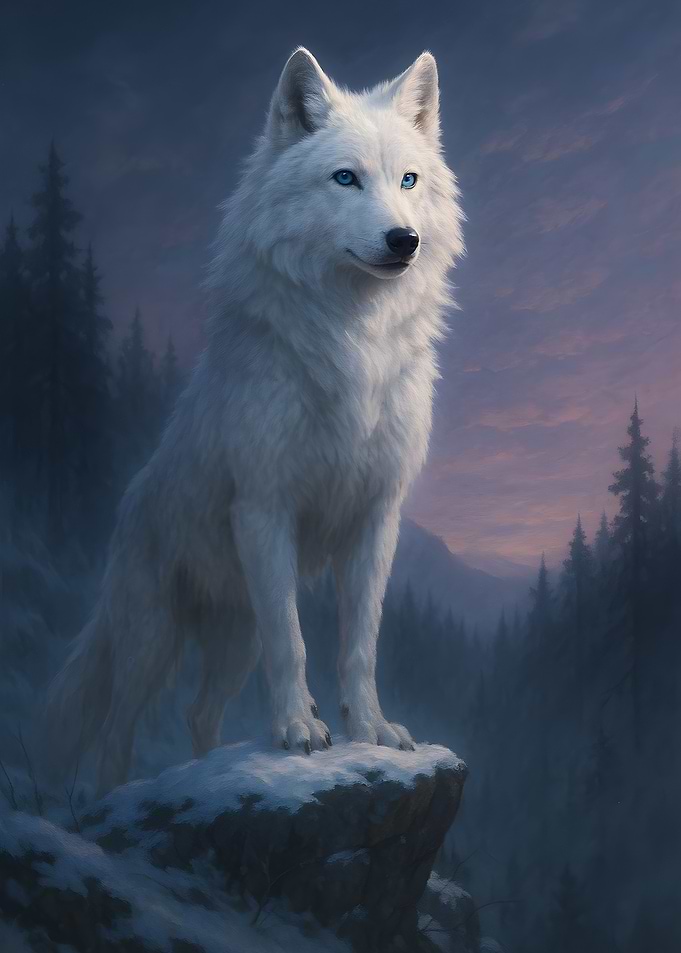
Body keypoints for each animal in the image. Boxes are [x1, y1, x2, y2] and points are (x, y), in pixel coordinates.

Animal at [43, 47, 465, 795]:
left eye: (408, 180)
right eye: (346, 178)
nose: (404, 239)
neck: (353, 340)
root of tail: (126, 502)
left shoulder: (375, 519)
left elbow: (359, 644)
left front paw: (371, 731)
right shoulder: (266, 509)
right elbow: (294, 645)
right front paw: (300, 731)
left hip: (233, 642)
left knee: (199, 710)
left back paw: (211, 766)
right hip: (153, 640)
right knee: (117, 728)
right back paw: (111, 794)